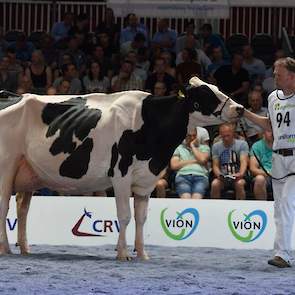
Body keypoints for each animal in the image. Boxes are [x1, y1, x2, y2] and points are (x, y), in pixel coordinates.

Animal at [0, 77, 242, 260]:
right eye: (205, 93)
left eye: (217, 88)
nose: (239, 108)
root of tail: (10, 94)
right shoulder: (121, 174)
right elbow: (124, 215)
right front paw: (123, 253)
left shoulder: (146, 180)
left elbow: (141, 217)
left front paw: (142, 254)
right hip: (6, 166)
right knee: (4, 206)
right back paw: (6, 249)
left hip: (28, 172)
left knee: (22, 208)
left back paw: (25, 248)